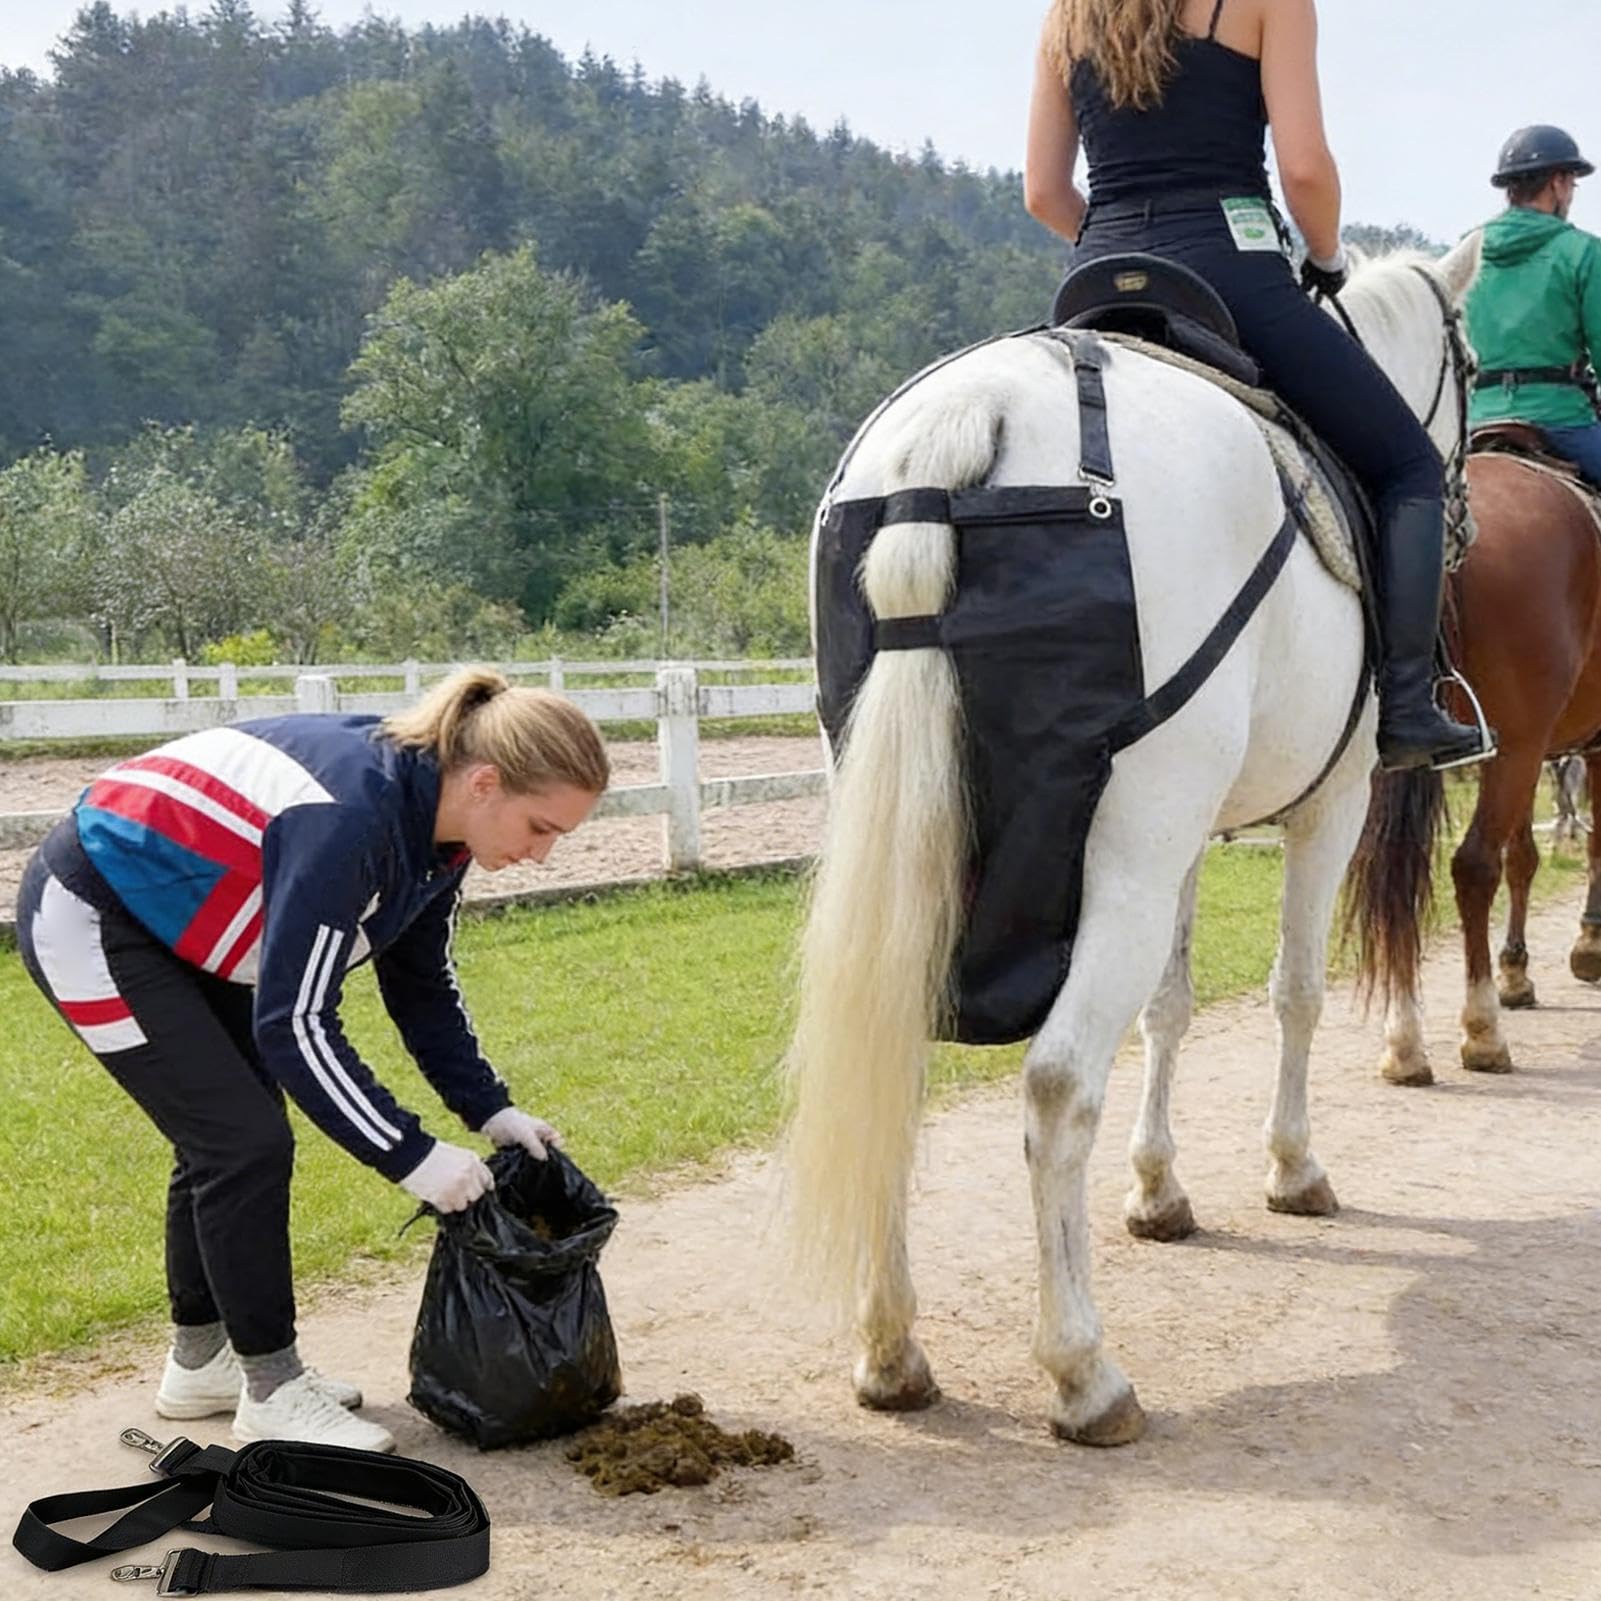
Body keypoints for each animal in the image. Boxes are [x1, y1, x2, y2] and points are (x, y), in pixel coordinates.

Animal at [783, 236, 1483, 1445]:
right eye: (1474, 369)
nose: (1464, 512)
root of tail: (969, 417)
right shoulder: (1328, 804)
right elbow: (1293, 990)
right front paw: (1290, 1169)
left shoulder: (1186, 839)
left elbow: (1170, 1003)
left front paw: (1157, 1188)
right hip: (1127, 855)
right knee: (1058, 1084)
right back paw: (1082, 1369)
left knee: (895, 1052)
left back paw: (891, 1348)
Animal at [1358, 448, 1601, 1083]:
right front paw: (1588, 946)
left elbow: (1525, 856)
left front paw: (1517, 971)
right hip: (1517, 746)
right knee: (1473, 867)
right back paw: (1482, 1030)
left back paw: (1404, 1041)